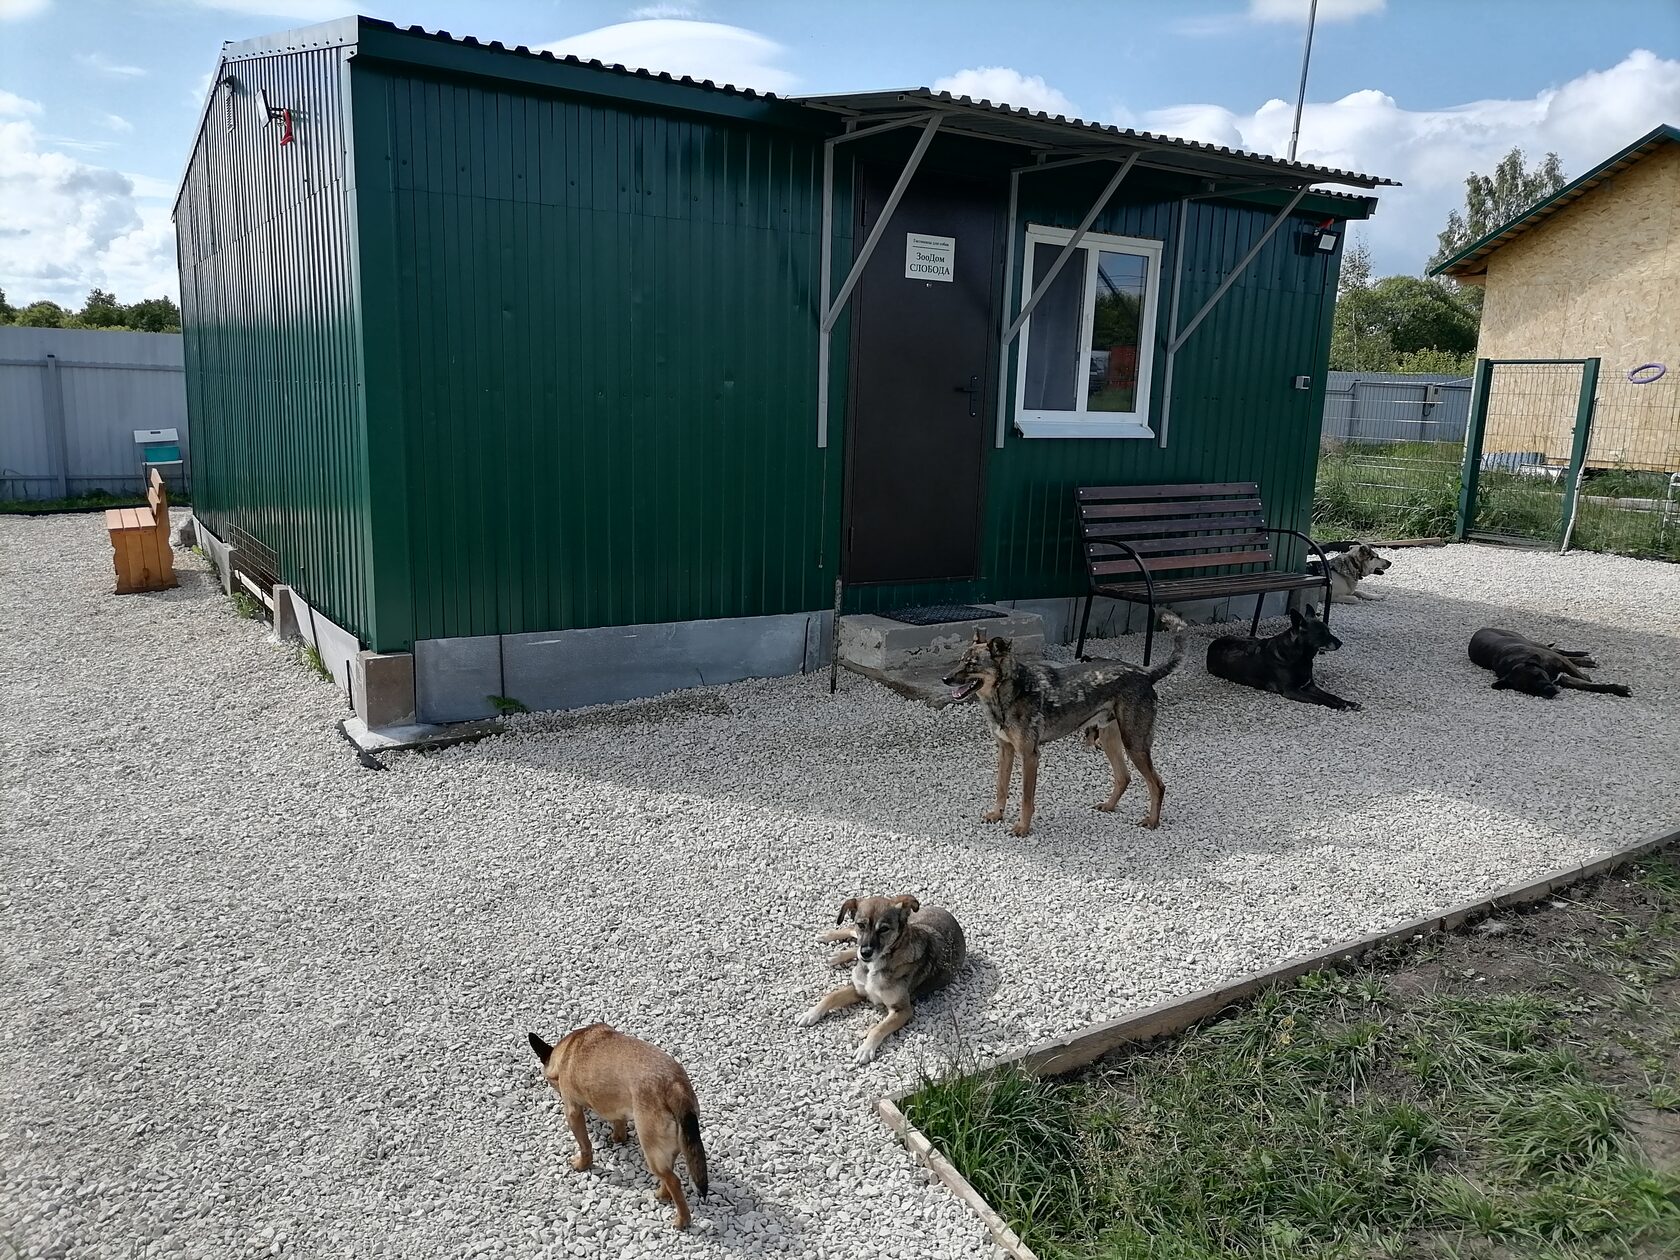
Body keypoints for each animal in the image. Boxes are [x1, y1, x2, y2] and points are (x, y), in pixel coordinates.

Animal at [1209, 608, 1364, 712]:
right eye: (1321, 634)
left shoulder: (1309, 686)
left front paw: (1348, 702)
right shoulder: (1292, 691)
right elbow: (1320, 699)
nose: (1340, 643)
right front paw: (1339, 705)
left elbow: (1331, 695)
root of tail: (1213, 643)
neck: (1301, 657)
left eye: (1328, 630)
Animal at [1464, 628, 1632, 702]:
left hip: (1532, 642)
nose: (1550, 691)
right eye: (1528, 688)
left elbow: (1585, 680)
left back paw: (1585, 659)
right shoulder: (1562, 679)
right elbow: (1588, 685)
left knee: (1558, 650)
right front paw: (1618, 690)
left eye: (1539, 675)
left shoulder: (1561, 664)